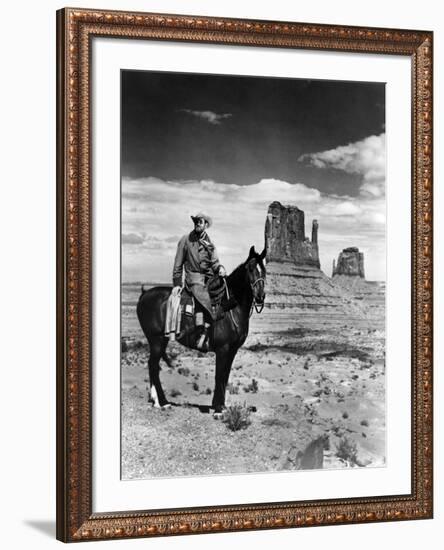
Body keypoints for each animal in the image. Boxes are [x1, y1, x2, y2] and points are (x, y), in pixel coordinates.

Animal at [137, 248, 266, 416]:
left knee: (152, 365)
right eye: (250, 269)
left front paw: (222, 406)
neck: (231, 307)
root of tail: (144, 294)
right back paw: (163, 403)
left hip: (160, 341)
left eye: (264, 269)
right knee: (153, 366)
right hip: (156, 340)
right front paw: (218, 409)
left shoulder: (232, 350)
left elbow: (225, 376)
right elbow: (219, 376)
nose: (260, 296)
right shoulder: (223, 349)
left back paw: (155, 400)